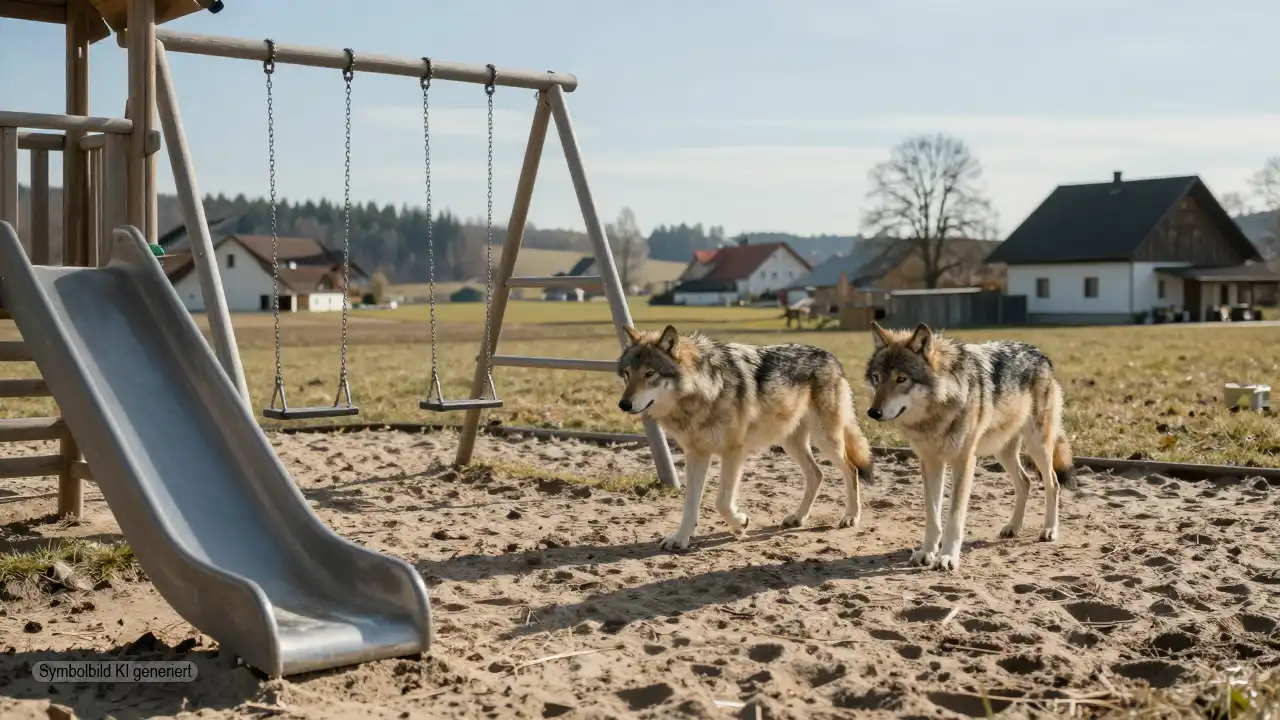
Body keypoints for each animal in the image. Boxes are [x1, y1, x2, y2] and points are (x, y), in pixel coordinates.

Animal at [617, 325, 874, 551]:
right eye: (627, 374)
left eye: (650, 374)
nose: (623, 404)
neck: (706, 389)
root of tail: (831, 357)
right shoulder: (696, 454)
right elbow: (690, 504)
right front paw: (680, 539)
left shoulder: (733, 451)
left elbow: (721, 502)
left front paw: (740, 523)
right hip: (790, 443)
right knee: (817, 474)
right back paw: (798, 517)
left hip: (826, 440)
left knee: (851, 469)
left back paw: (851, 517)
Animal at [863, 322, 1074, 571]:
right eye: (877, 378)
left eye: (901, 379)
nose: (873, 412)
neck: (937, 412)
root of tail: (1040, 353)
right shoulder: (930, 461)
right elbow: (932, 514)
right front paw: (927, 552)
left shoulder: (963, 461)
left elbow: (955, 516)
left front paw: (947, 556)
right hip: (1002, 451)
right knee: (1025, 481)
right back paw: (1013, 527)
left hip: (1037, 446)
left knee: (1053, 483)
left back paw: (1049, 530)